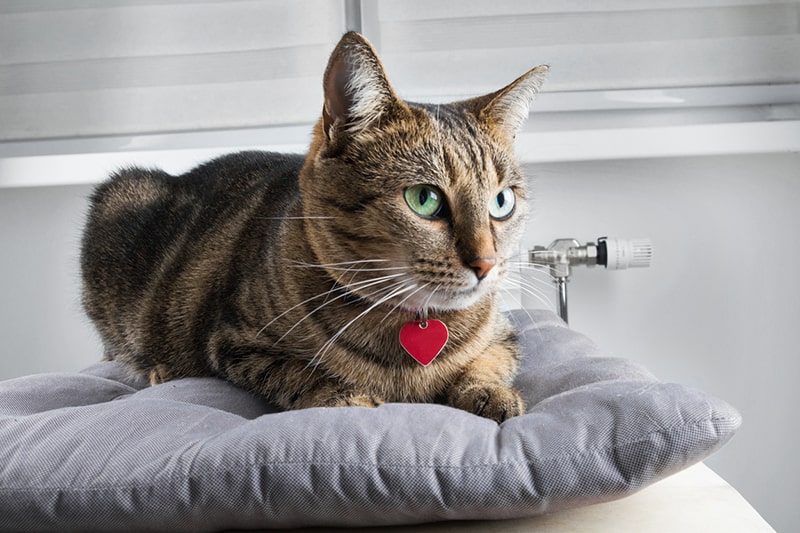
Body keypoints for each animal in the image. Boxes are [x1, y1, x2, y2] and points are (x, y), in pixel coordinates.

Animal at [79, 31, 544, 422]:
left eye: (502, 202)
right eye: (424, 199)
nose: (487, 264)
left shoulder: (504, 336)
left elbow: (487, 363)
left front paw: (489, 392)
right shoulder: (236, 341)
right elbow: (297, 373)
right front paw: (344, 396)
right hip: (122, 196)